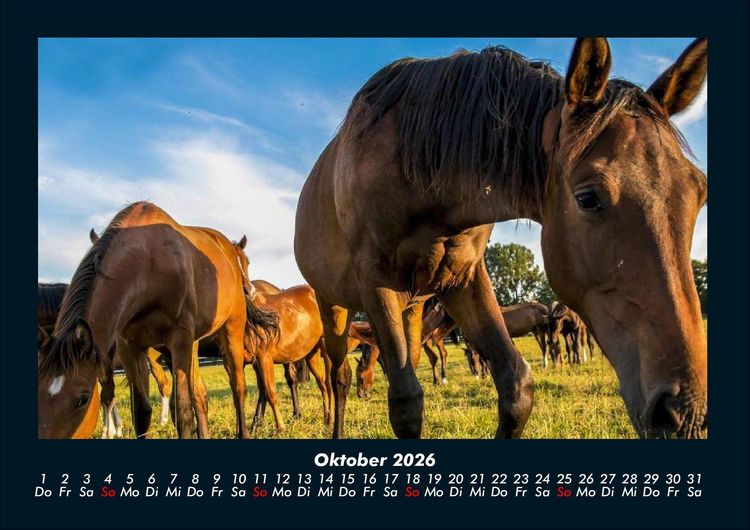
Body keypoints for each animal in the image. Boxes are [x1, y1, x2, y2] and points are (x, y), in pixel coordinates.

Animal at [38, 202, 278, 439]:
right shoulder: (129, 347)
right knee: (200, 393)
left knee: (238, 387)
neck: (148, 265)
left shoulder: (179, 340)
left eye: (83, 399)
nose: (249, 289)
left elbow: (182, 411)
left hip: (231, 331)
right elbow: (141, 412)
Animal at [295, 38, 708, 439]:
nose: (684, 412)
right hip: (334, 305)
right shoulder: (377, 284)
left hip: (412, 306)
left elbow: (516, 386)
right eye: (587, 198)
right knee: (339, 376)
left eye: (699, 191)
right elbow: (406, 404)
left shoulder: (463, 279)